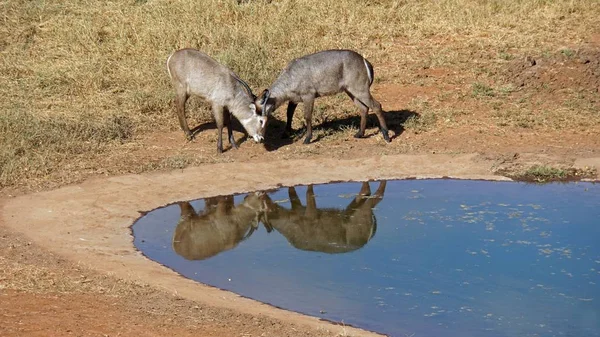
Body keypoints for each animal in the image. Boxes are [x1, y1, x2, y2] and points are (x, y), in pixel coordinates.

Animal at [255, 49, 392, 144]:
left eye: (258, 109)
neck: (290, 77)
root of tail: (365, 61)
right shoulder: (294, 100)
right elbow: (289, 114)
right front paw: (286, 133)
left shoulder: (308, 96)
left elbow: (307, 117)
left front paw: (307, 139)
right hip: (351, 92)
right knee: (364, 108)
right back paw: (359, 133)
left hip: (360, 90)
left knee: (377, 106)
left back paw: (386, 136)